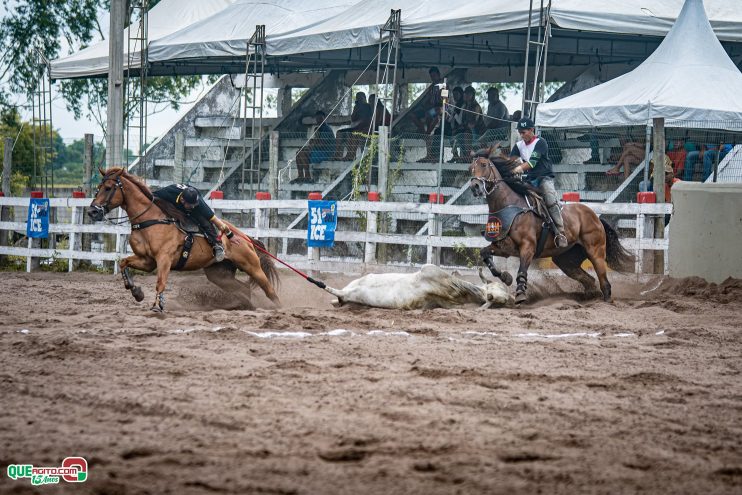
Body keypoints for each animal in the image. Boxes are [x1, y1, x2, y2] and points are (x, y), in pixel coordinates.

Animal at [88, 169, 280, 312]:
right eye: (98, 187)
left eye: (108, 188)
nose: (92, 211)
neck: (150, 219)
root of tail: (245, 237)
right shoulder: (147, 261)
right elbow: (123, 262)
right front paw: (136, 292)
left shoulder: (164, 259)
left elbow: (160, 282)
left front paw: (157, 306)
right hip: (219, 274)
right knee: (243, 289)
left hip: (252, 266)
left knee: (270, 290)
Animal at [470, 153, 632, 304]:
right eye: (471, 168)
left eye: (484, 164)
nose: (475, 186)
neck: (511, 206)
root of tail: (596, 217)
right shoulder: (504, 248)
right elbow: (485, 253)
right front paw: (505, 277)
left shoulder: (528, 247)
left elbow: (522, 270)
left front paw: (520, 294)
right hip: (566, 261)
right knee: (589, 280)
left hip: (595, 252)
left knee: (604, 281)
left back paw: (606, 299)